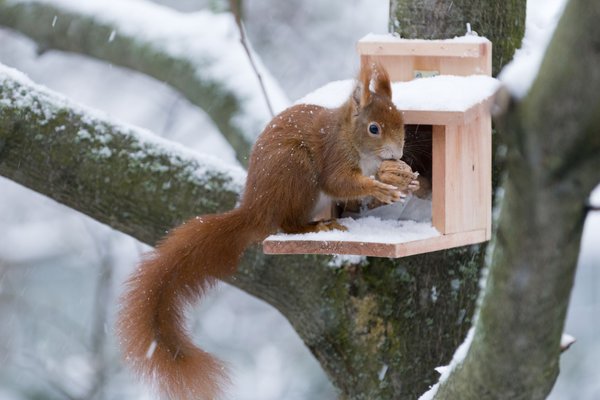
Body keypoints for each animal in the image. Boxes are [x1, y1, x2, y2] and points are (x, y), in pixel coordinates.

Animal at [117, 61, 418, 396]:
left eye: (401, 121)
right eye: (373, 128)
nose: (397, 154)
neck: (351, 138)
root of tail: (255, 209)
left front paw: (401, 180)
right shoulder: (335, 156)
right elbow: (339, 183)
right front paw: (379, 187)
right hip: (297, 173)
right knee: (288, 225)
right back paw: (317, 226)